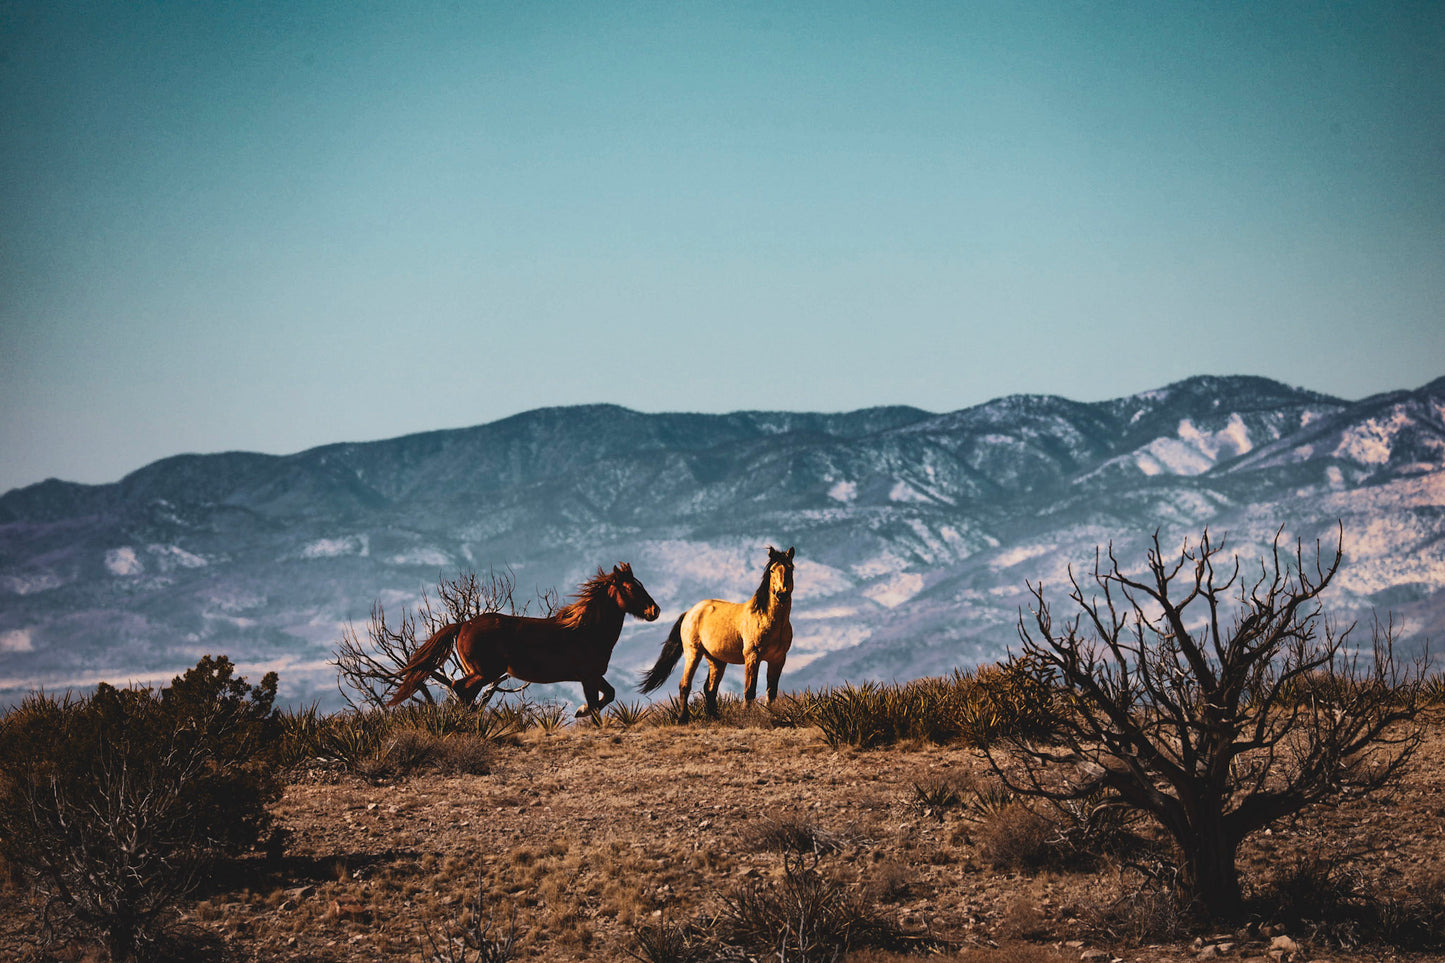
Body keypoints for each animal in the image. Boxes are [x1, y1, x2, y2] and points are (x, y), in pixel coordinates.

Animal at [384, 563, 656, 711]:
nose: (654, 611)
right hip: (487, 672)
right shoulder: (588, 677)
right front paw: (583, 712)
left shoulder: (594, 676)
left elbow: (608, 695)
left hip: (482, 672)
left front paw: (580, 711)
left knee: (464, 691)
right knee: (460, 688)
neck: (586, 631)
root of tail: (463, 625)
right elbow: (596, 707)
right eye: (631, 588)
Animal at [644, 543, 803, 717]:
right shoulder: (752, 657)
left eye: (790, 568)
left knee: (710, 689)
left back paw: (713, 716)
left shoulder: (778, 659)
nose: (782, 594)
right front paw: (746, 716)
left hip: (716, 660)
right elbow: (749, 691)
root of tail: (690, 612)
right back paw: (683, 718)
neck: (768, 619)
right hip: (693, 653)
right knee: (685, 685)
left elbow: (772, 693)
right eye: (772, 570)